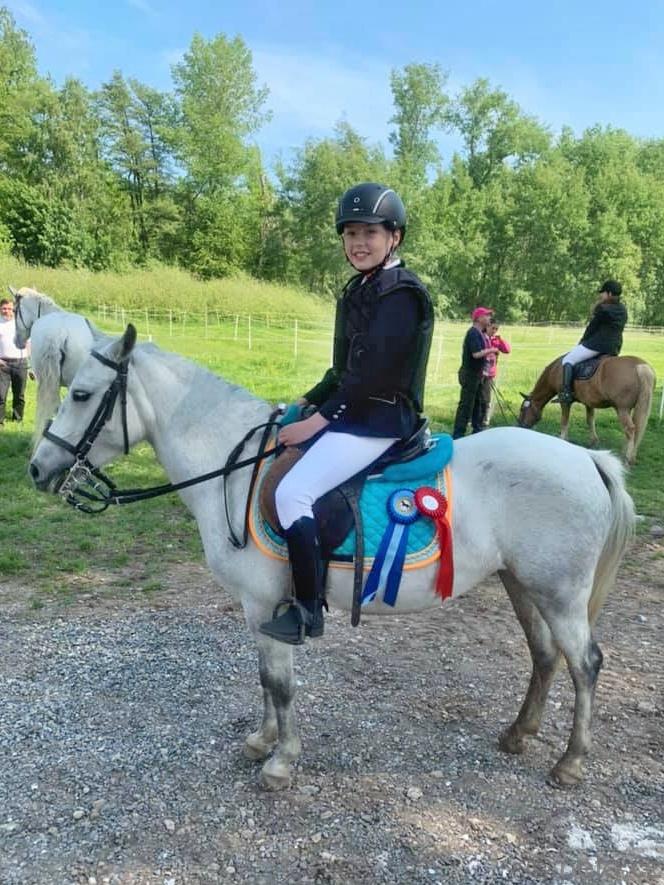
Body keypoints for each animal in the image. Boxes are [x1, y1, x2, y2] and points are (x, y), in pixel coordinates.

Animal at [28, 325, 635, 792]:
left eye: (81, 395)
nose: (37, 469)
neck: (236, 468)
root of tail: (586, 458)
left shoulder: (268, 604)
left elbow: (281, 684)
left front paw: (281, 763)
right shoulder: (260, 609)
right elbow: (265, 679)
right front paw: (262, 741)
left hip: (560, 593)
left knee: (585, 664)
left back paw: (570, 763)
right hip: (522, 584)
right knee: (545, 656)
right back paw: (517, 734)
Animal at [518, 354, 656, 465]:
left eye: (522, 409)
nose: (521, 425)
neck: (556, 370)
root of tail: (641, 366)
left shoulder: (565, 402)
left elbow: (564, 420)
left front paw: (563, 438)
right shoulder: (589, 403)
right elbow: (590, 421)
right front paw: (593, 442)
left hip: (622, 409)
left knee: (630, 430)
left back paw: (627, 459)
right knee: (634, 430)